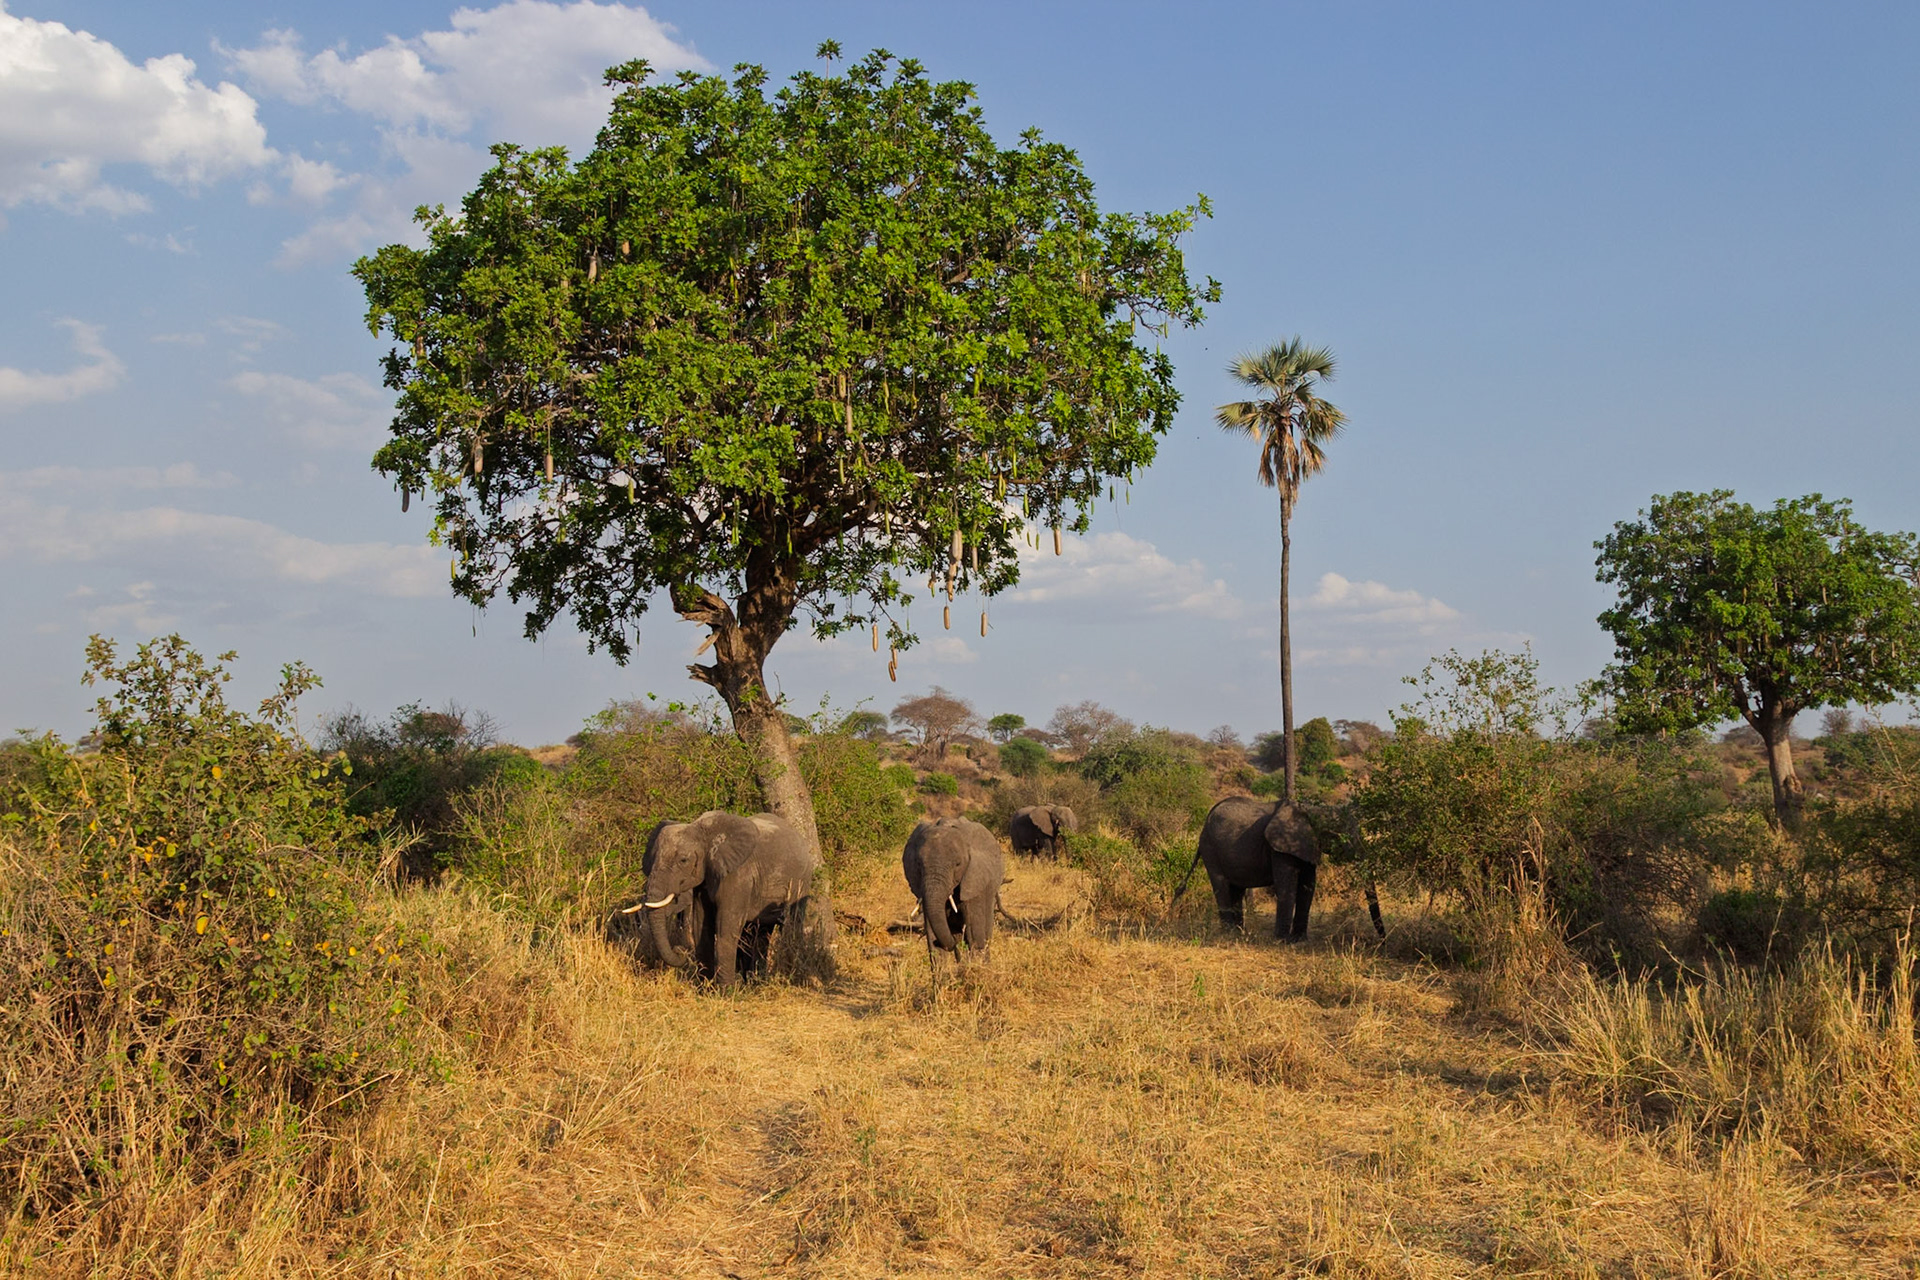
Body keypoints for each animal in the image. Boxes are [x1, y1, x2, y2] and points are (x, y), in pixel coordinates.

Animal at [638, 810, 818, 987]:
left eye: (683, 860)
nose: (680, 951)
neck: (702, 830)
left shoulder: (738, 876)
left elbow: (726, 928)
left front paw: (726, 991)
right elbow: (701, 926)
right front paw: (705, 989)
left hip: (802, 881)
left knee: (791, 926)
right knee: (762, 933)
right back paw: (756, 983)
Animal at [903, 817, 1005, 961]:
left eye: (957, 864)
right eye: (918, 864)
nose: (952, 944)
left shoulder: (974, 880)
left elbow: (975, 935)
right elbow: (933, 941)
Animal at [1176, 797, 1321, 940]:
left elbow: (1308, 884)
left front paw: (1299, 939)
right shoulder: (1279, 846)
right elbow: (1286, 884)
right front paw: (1283, 940)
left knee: (1236, 889)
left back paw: (1240, 932)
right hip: (1210, 848)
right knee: (1220, 884)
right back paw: (1230, 933)